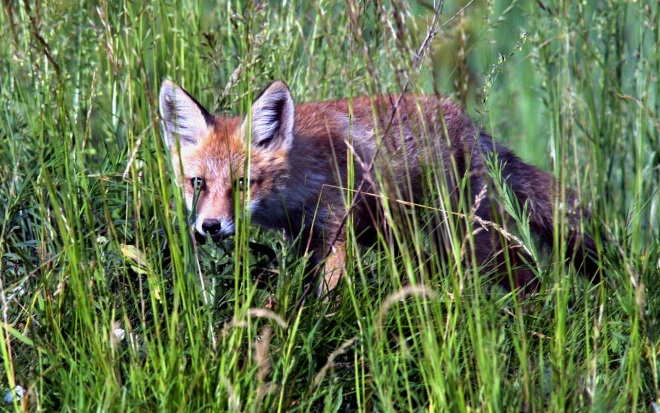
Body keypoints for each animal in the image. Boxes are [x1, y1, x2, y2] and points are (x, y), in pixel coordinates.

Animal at [159, 79, 601, 295]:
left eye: (243, 184)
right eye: (198, 183)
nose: (210, 227)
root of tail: (468, 124)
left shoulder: (337, 231)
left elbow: (329, 295)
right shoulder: (306, 238)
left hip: (468, 237)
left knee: (526, 271)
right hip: (407, 237)